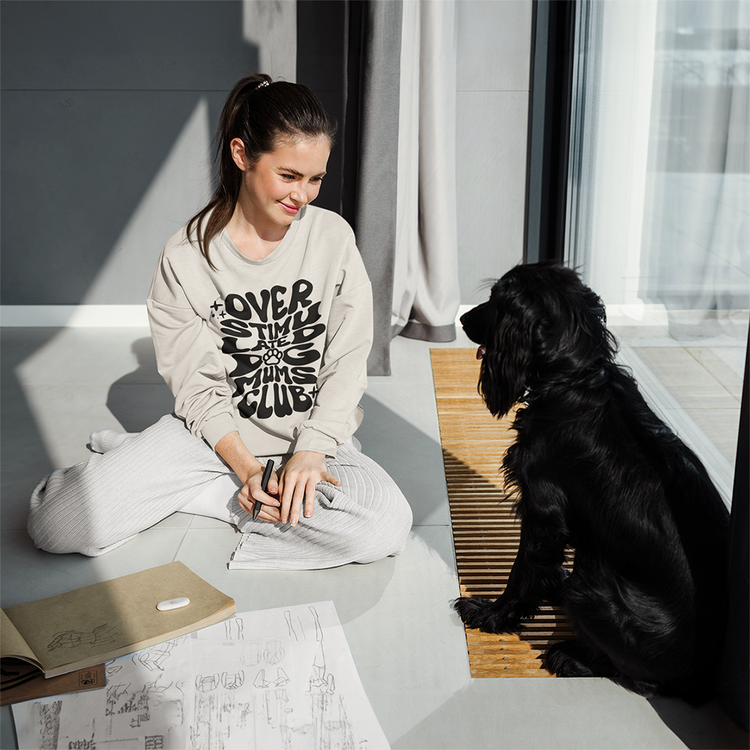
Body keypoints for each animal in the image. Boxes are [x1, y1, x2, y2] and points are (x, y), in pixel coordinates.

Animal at [456, 262, 732, 704]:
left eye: (497, 300)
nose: (463, 319)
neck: (572, 381)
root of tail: (701, 680)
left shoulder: (544, 511)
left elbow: (521, 572)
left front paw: (492, 615)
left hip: (595, 585)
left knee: (640, 679)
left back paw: (569, 657)